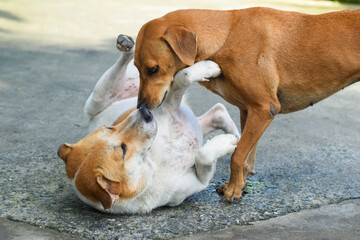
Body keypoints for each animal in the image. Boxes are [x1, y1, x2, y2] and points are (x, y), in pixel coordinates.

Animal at [57, 34, 240, 214]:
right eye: (123, 150)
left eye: (109, 127)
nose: (144, 111)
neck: (153, 163)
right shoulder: (199, 181)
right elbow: (203, 155)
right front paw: (227, 143)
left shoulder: (166, 104)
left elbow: (183, 77)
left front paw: (206, 67)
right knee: (219, 112)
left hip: (101, 97)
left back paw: (127, 45)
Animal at [134, 7, 360, 202]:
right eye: (136, 67)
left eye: (153, 69)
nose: (141, 107)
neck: (227, 36)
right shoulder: (247, 110)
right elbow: (246, 154)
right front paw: (239, 183)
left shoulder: (264, 109)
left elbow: (237, 154)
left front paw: (234, 189)